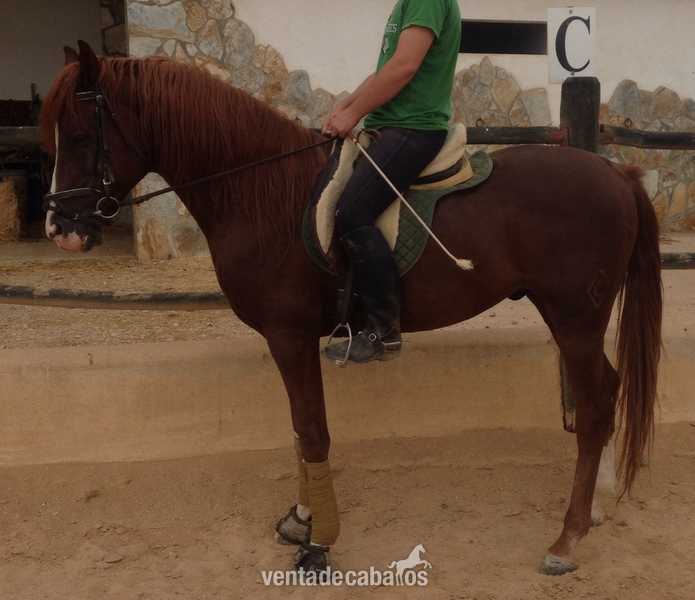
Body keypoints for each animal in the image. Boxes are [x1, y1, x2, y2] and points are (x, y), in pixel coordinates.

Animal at [40, 41, 662, 575]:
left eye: (79, 135)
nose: (59, 230)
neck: (260, 193)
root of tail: (615, 171)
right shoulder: (290, 339)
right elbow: (299, 431)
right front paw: (302, 519)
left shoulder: (289, 334)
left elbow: (313, 432)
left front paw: (318, 544)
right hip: (574, 321)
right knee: (608, 393)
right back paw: (594, 509)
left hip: (576, 320)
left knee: (595, 410)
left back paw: (567, 538)